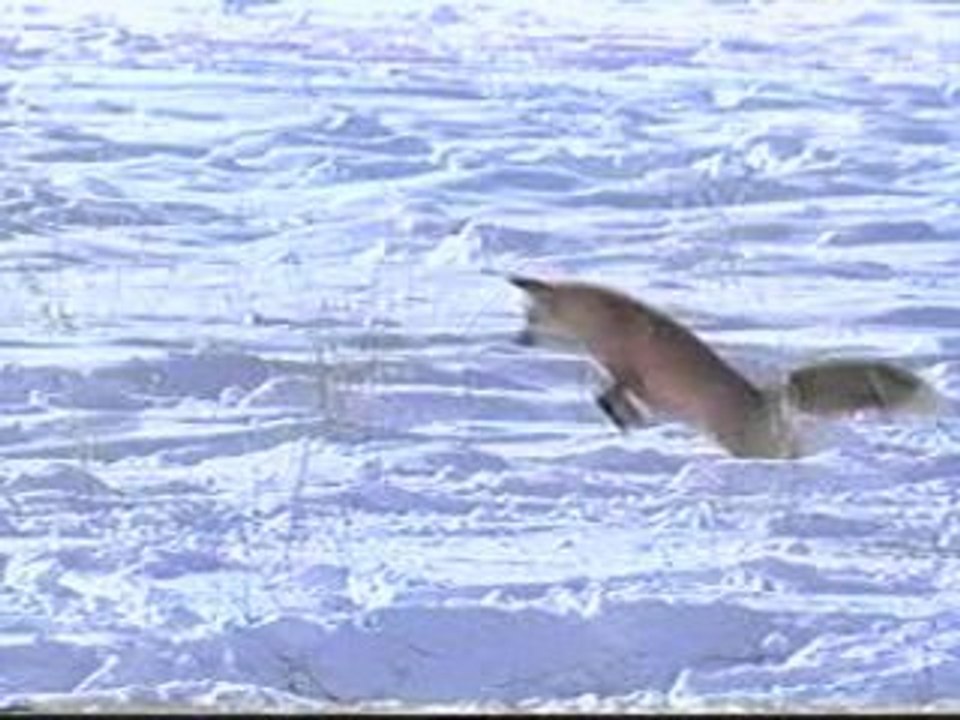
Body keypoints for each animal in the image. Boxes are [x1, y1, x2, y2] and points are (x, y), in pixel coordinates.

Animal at [509, 275, 941, 459]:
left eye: (530, 319)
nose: (517, 341)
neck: (605, 323)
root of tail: (770, 397)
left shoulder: (634, 374)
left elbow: (612, 396)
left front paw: (627, 420)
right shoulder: (622, 376)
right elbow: (612, 399)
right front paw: (628, 422)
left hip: (744, 444)